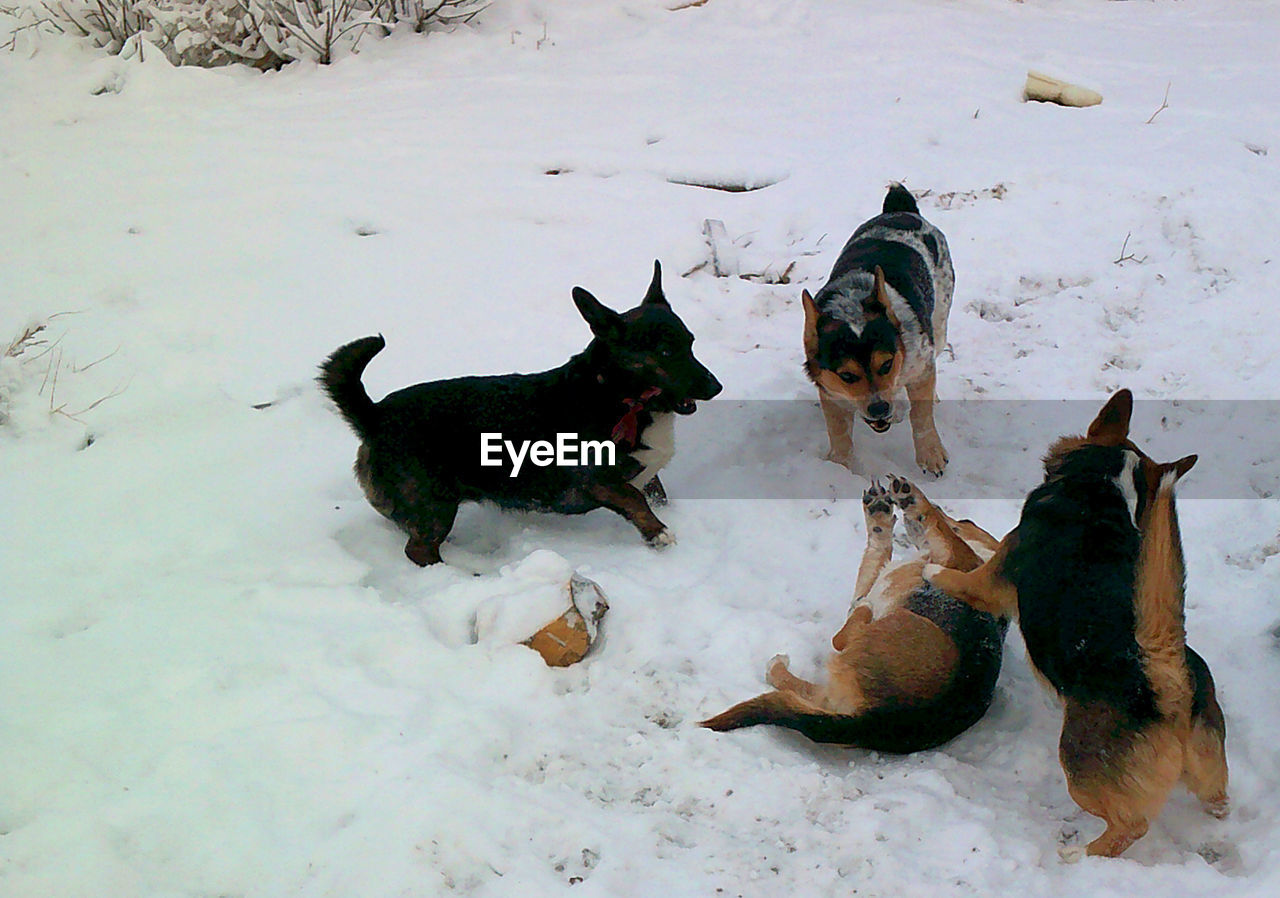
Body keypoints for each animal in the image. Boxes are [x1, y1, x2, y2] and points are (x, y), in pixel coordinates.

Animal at [317, 263, 721, 565]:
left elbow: (654, 492)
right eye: (665, 352)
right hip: (435, 508)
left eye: (691, 343)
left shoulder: (647, 475)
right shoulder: (595, 481)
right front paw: (658, 533)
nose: (716, 387)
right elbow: (634, 498)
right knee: (418, 550)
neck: (618, 395)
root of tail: (373, 414)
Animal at [701, 475, 1008, 757]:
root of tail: (876, 721)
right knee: (813, 690)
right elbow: (878, 552)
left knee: (838, 641)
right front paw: (879, 519)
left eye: (966, 520)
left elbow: (945, 533)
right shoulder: (874, 580)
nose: (942, 505)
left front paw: (915, 500)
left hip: (903, 626)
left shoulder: (959, 560)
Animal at [803, 181, 957, 478]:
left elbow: (921, 415)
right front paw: (841, 469)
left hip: (940, 321)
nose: (879, 408)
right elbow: (839, 433)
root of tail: (900, 209)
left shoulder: (921, 364)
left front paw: (931, 455)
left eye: (886, 364)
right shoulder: (831, 393)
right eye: (847, 376)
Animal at [926, 391, 1223, 859]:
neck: (1099, 492)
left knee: (1130, 826)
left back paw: (1080, 856)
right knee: (1218, 802)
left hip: (1080, 773)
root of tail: (1165, 676)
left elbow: (959, 572)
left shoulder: (991, 581)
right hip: (1209, 767)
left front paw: (931, 566)